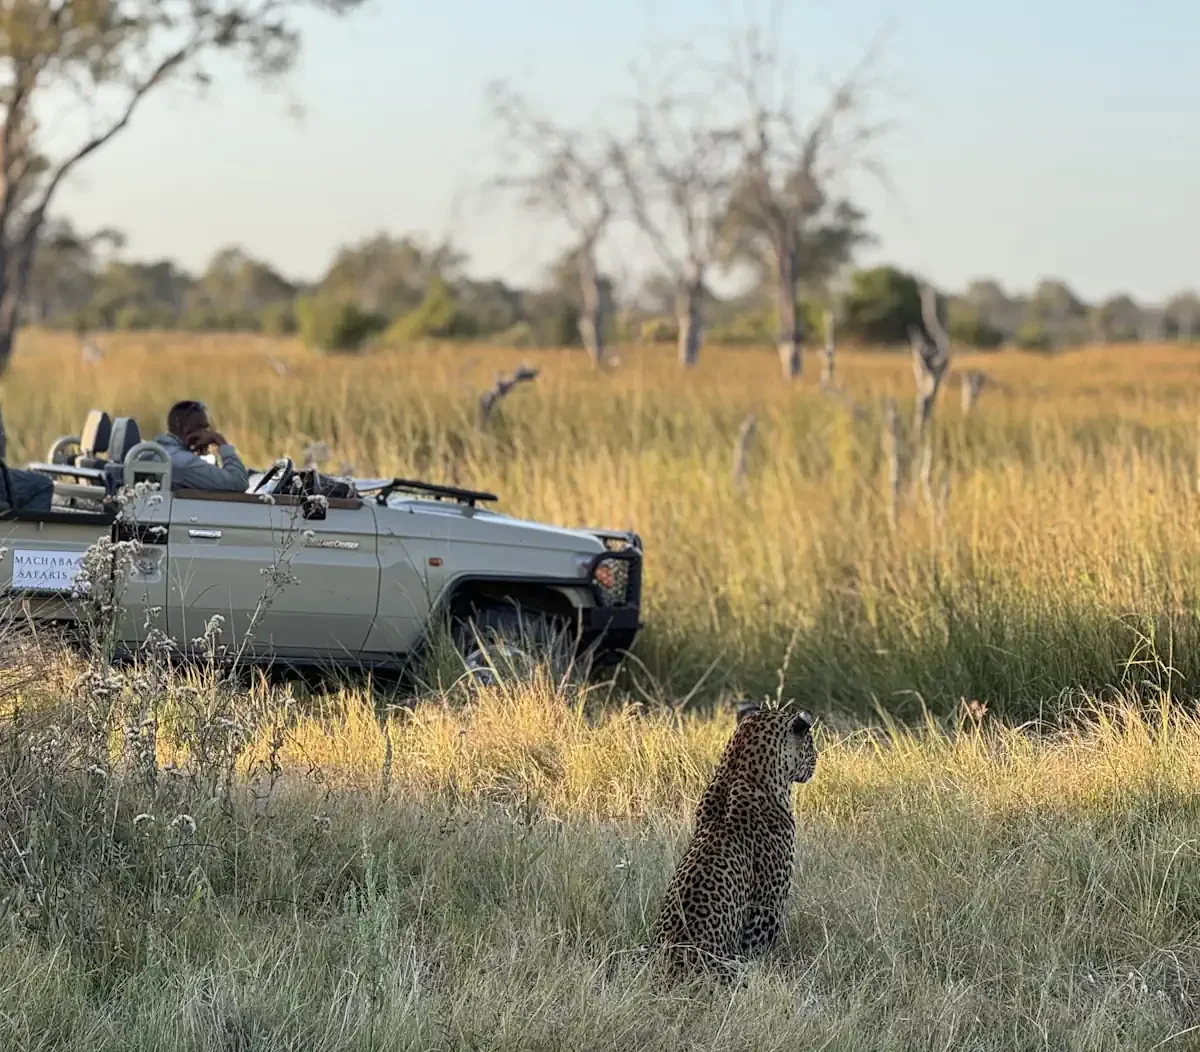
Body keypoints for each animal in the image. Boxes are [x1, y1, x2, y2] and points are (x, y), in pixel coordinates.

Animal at [649, 701, 817, 984]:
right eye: (811, 742)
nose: (818, 758)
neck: (737, 769)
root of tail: (672, 970)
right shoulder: (765, 910)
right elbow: (761, 949)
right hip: (734, 965)